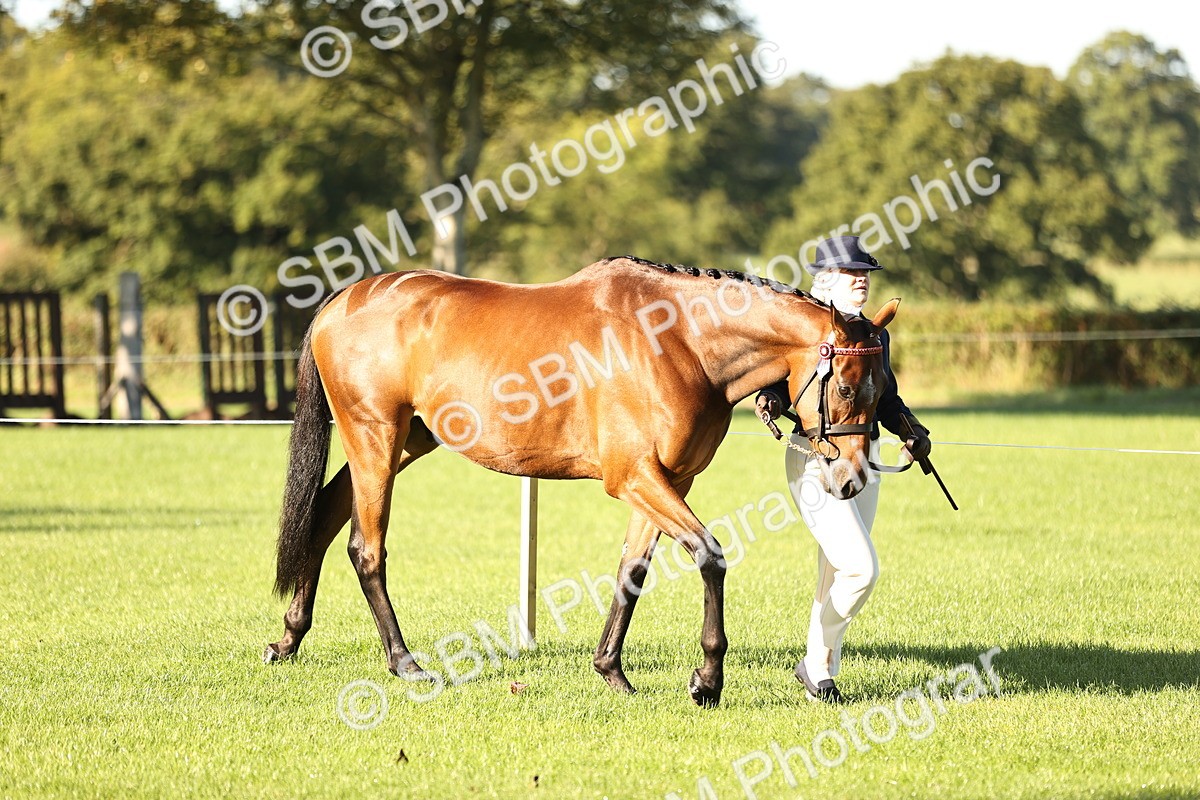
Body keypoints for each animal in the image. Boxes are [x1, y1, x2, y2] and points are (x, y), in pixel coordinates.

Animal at [264, 255, 900, 707]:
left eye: (882, 388)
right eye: (848, 386)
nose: (851, 479)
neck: (680, 342)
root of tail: (343, 300)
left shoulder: (669, 482)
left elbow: (632, 571)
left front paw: (611, 671)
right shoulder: (635, 478)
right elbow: (710, 556)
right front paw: (707, 680)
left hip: (404, 440)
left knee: (323, 516)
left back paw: (289, 639)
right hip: (374, 436)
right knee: (365, 547)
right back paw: (404, 662)